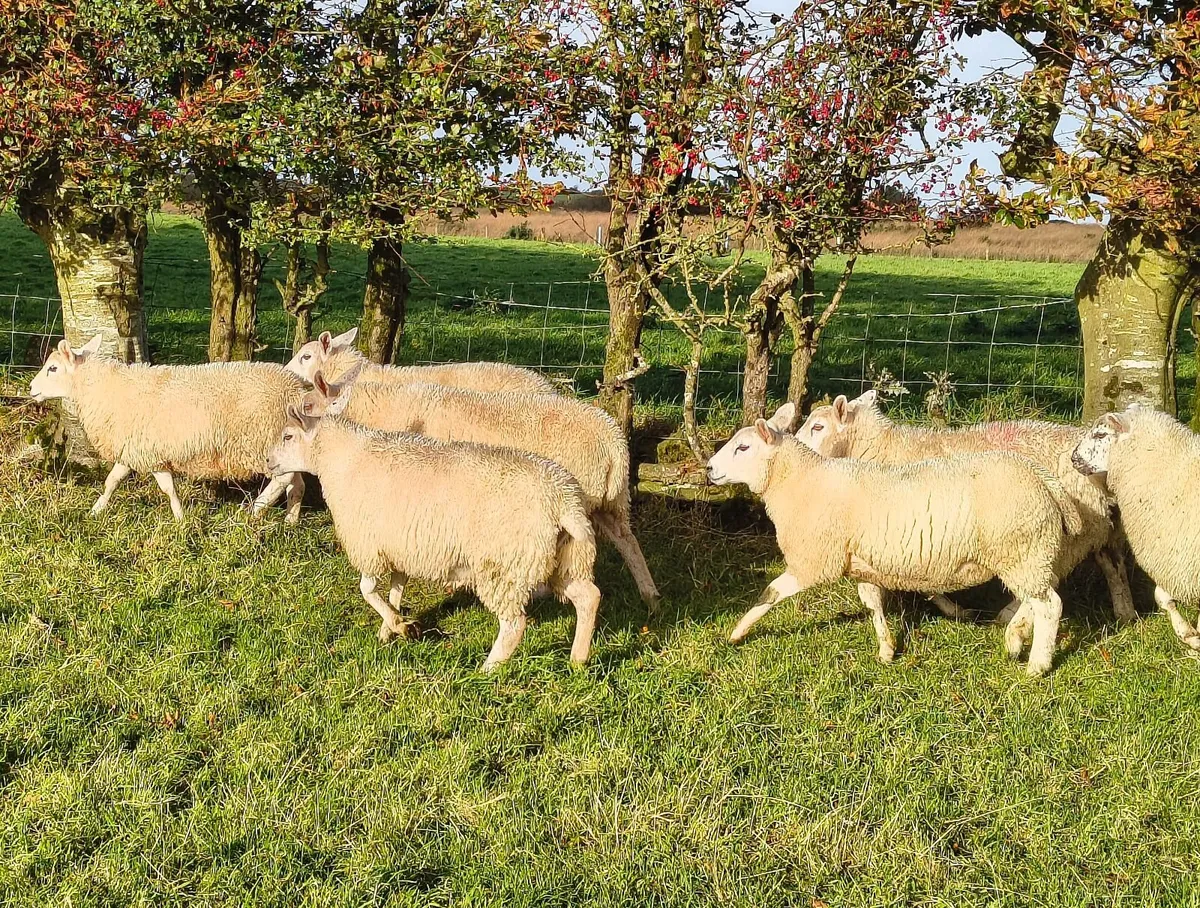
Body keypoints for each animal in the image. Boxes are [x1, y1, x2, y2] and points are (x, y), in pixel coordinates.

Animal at [29, 336, 308, 522]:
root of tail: (297, 391)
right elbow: (112, 481)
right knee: (297, 481)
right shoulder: (134, 447)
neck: (105, 389)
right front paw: (96, 510)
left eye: (53, 368)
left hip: (262, 441)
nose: (31, 389)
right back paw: (290, 520)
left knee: (282, 479)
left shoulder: (150, 452)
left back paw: (255, 510)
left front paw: (180, 519)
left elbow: (167, 488)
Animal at [266, 404, 601, 670]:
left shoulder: (370, 545)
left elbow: (367, 590)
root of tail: (564, 500)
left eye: (288, 436)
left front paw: (398, 625)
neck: (341, 460)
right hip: (564, 558)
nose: (268, 462)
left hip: (504, 566)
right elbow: (396, 590)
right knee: (589, 597)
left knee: (514, 625)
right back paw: (578, 659)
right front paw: (392, 628)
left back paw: (488, 669)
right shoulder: (399, 547)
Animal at [707, 403, 1076, 675]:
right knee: (1038, 598)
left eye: (743, 447)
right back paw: (1015, 636)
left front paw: (736, 633)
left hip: (1021, 549)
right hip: (1029, 554)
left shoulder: (815, 561)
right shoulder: (861, 561)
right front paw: (886, 648)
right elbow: (872, 602)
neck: (802, 481)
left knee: (1049, 605)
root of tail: (1043, 478)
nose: (709, 469)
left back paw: (1037, 664)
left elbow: (769, 594)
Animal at [794, 390, 1134, 627]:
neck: (882, 449)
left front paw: (953, 610)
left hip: (1060, 531)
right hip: (1099, 523)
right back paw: (1125, 612)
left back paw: (1009, 615)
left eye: (818, 427)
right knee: (1113, 564)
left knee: (1050, 581)